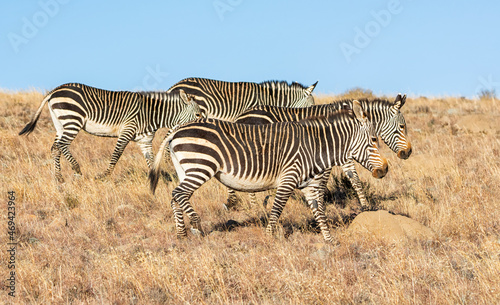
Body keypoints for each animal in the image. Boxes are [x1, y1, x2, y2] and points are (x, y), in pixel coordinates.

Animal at [19, 82, 203, 182]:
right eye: (198, 115)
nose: (203, 128)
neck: (151, 114)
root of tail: (55, 90)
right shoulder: (127, 131)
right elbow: (117, 154)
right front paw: (103, 176)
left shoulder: (144, 141)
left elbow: (151, 161)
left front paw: (161, 180)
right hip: (73, 120)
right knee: (62, 145)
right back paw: (76, 169)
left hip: (60, 123)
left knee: (55, 147)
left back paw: (59, 178)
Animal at [148, 100, 386, 242]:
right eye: (374, 140)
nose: (385, 169)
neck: (314, 146)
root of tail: (176, 131)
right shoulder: (288, 178)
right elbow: (277, 209)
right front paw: (270, 237)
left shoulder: (309, 185)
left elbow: (320, 212)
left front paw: (329, 240)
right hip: (200, 166)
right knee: (178, 194)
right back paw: (196, 223)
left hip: (184, 168)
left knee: (175, 197)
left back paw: (181, 233)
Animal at [236, 94, 412, 210]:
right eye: (402, 127)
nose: (408, 152)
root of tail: (241, 116)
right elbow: (324, 182)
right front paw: (320, 204)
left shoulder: (344, 155)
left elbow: (354, 179)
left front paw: (365, 206)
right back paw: (254, 207)